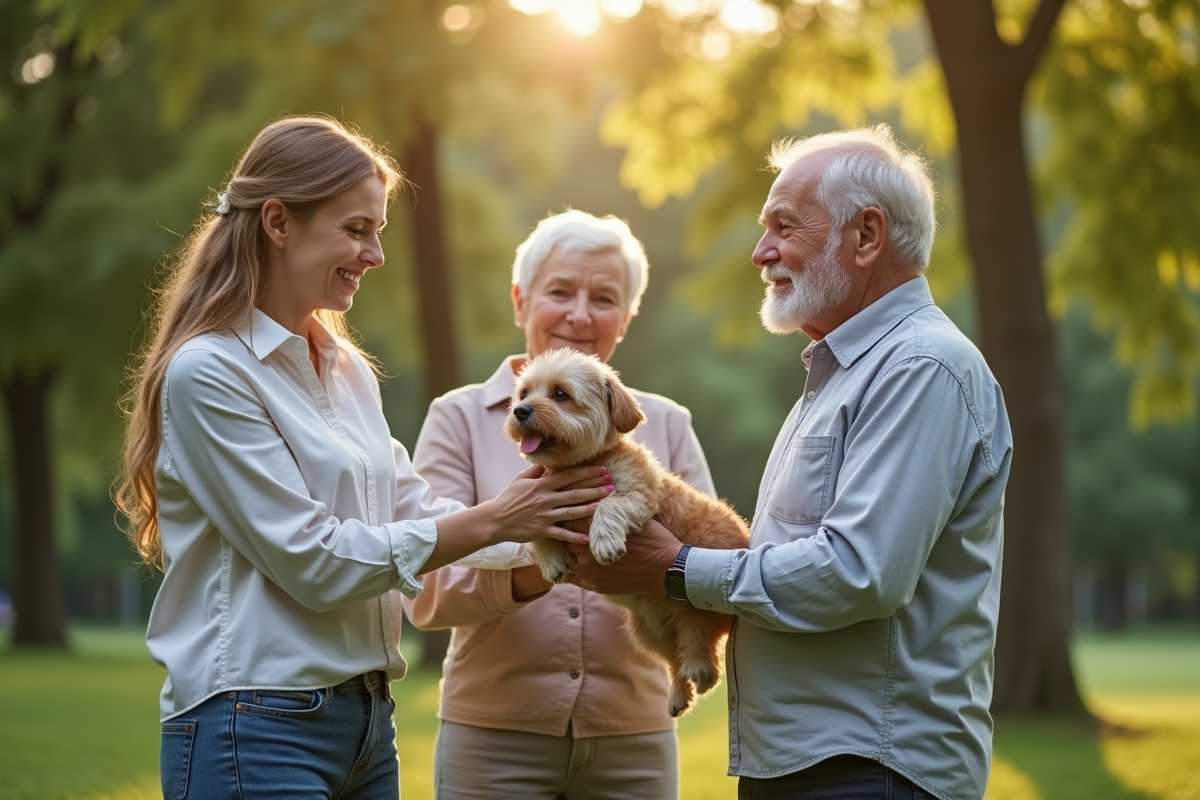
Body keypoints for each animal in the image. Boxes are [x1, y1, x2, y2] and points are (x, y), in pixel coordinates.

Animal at [499, 350, 744, 719]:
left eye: (560, 394)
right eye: (524, 393)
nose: (520, 411)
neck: (581, 464)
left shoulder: (640, 494)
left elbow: (610, 504)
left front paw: (604, 542)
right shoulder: (543, 502)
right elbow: (538, 529)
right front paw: (552, 559)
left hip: (697, 608)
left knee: (700, 645)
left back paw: (701, 671)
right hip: (648, 633)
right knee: (675, 660)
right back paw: (678, 693)